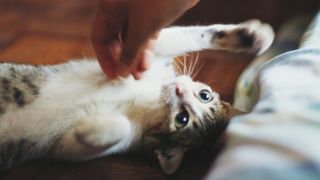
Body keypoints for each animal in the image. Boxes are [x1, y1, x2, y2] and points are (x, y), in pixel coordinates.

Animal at [0, 19, 274, 174]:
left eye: (182, 119)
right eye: (205, 95)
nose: (179, 90)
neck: (146, 100)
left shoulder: (64, 147)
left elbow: (83, 141)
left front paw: (89, 129)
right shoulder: (152, 59)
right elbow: (176, 36)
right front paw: (251, 37)